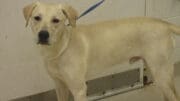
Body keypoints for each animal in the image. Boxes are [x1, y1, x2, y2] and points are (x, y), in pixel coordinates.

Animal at [23, 1, 180, 101]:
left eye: (56, 20)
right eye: (37, 18)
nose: (43, 35)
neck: (60, 47)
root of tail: (164, 23)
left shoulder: (79, 90)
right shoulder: (60, 86)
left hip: (162, 74)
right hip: (156, 72)